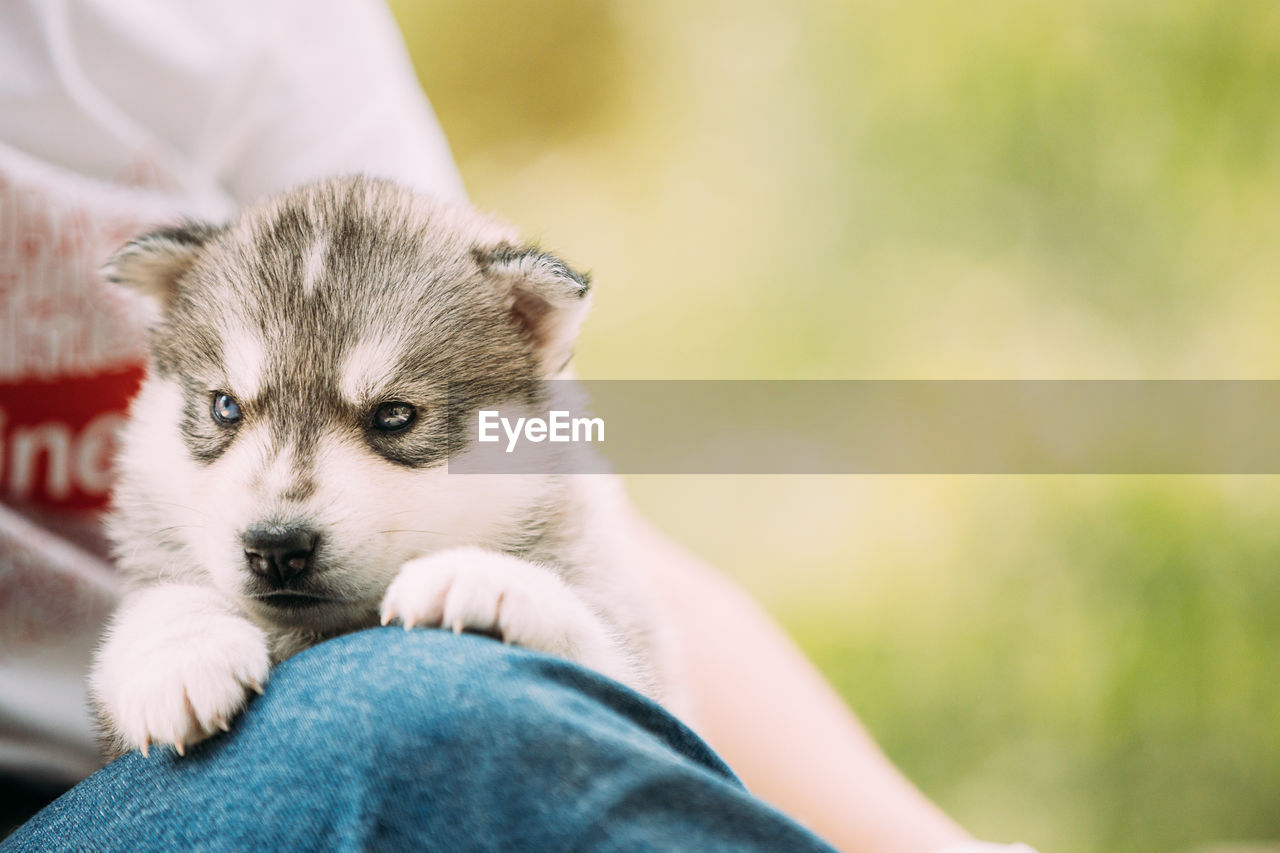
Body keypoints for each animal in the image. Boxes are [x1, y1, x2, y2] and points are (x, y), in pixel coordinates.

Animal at [90, 175, 670, 753]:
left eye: (394, 415)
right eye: (225, 407)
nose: (275, 548)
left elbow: (603, 649)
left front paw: (485, 577)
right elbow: (163, 602)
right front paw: (180, 650)